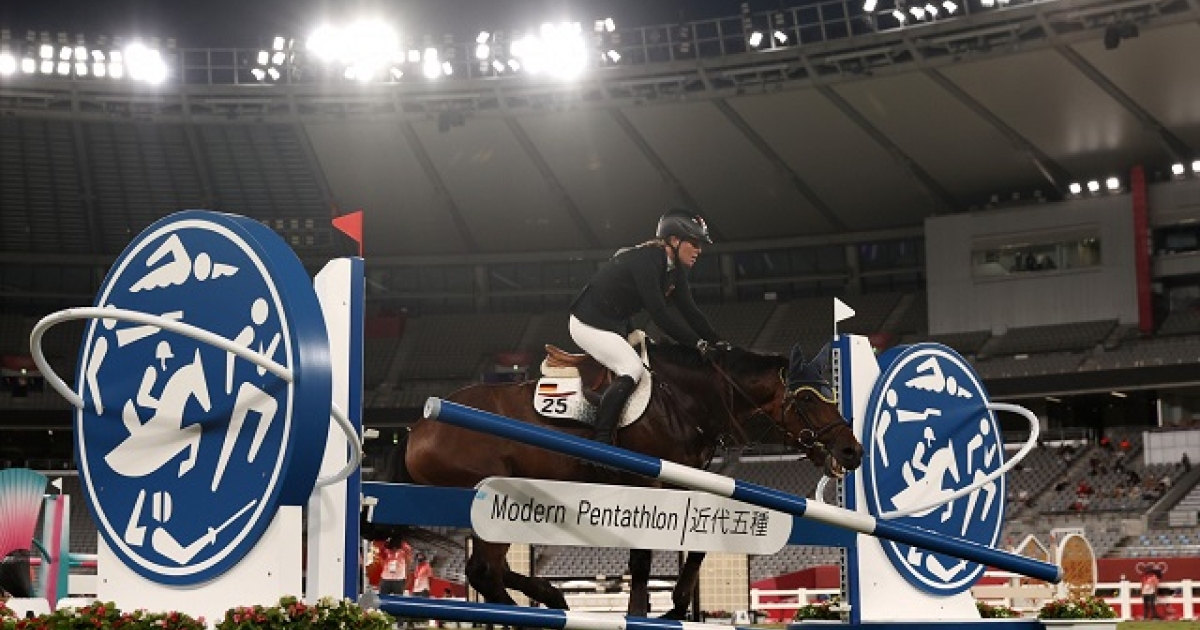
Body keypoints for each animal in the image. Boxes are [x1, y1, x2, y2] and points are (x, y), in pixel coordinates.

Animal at [377, 340, 863, 619]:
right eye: (805, 398)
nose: (851, 452)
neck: (683, 399)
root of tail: (417, 428)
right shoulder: (649, 486)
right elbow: (643, 561)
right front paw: (642, 612)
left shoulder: (688, 484)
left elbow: (697, 547)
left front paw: (675, 607)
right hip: (491, 496)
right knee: (483, 571)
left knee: (493, 570)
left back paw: (552, 598)